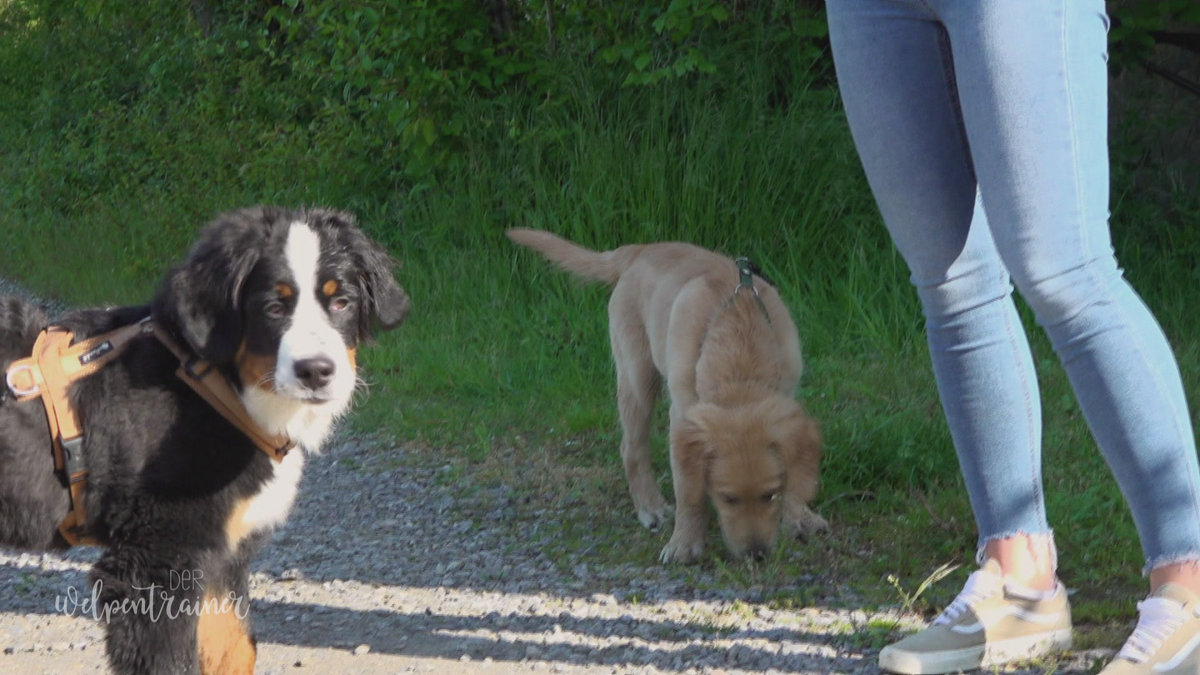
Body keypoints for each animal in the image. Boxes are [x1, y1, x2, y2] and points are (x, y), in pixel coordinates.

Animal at [0, 205, 408, 672]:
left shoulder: (221, 558)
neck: (211, 384)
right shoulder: (156, 562)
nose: (316, 371)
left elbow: (235, 647)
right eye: (273, 307)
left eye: (341, 301)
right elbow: (172, 660)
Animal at [504, 228, 825, 559]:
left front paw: (800, 517)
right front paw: (685, 541)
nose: (756, 554)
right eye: (726, 498)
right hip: (636, 377)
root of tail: (637, 250)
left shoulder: (786, 398)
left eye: (770, 495)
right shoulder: (683, 415)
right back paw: (651, 507)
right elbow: (688, 491)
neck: (740, 345)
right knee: (631, 448)